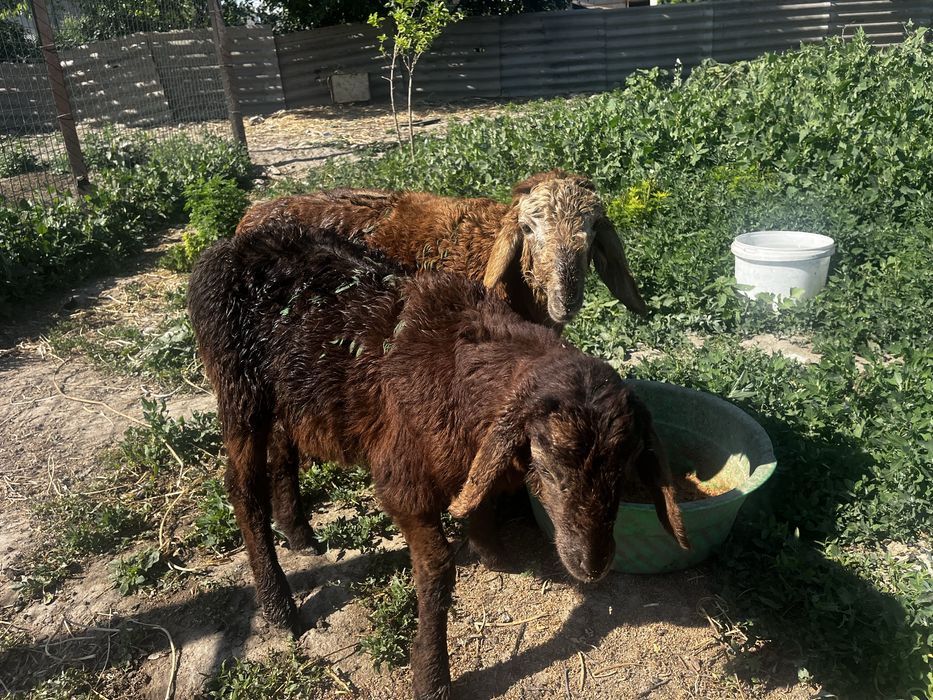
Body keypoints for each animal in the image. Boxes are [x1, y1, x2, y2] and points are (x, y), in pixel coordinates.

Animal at [188, 224, 687, 700]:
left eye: (624, 468)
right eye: (546, 465)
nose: (593, 564)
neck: (459, 371)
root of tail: (229, 246)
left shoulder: (473, 459)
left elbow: (480, 504)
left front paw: (495, 555)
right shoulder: (402, 482)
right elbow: (439, 570)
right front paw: (431, 676)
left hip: (289, 391)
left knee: (283, 450)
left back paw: (299, 533)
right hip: (237, 385)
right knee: (242, 487)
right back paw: (278, 607)